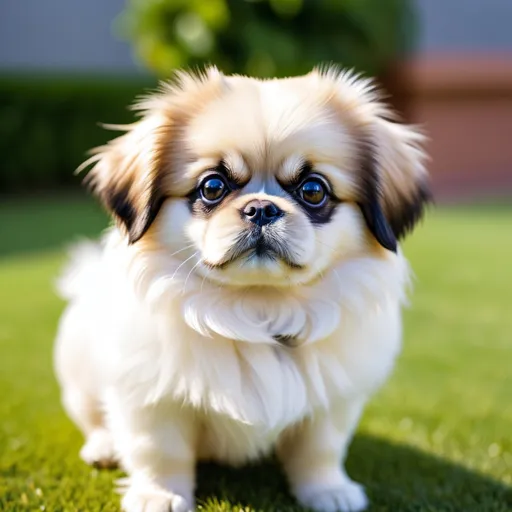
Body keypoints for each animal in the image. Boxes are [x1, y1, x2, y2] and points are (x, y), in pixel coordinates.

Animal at [54, 65, 430, 512]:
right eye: (213, 187)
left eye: (313, 190)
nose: (261, 208)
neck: (256, 309)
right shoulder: (149, 400)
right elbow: (160, 452)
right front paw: (159, 496)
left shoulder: (333, 404)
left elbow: (319, 450)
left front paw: (329, 492)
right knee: (93, 419)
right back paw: (104, 448)